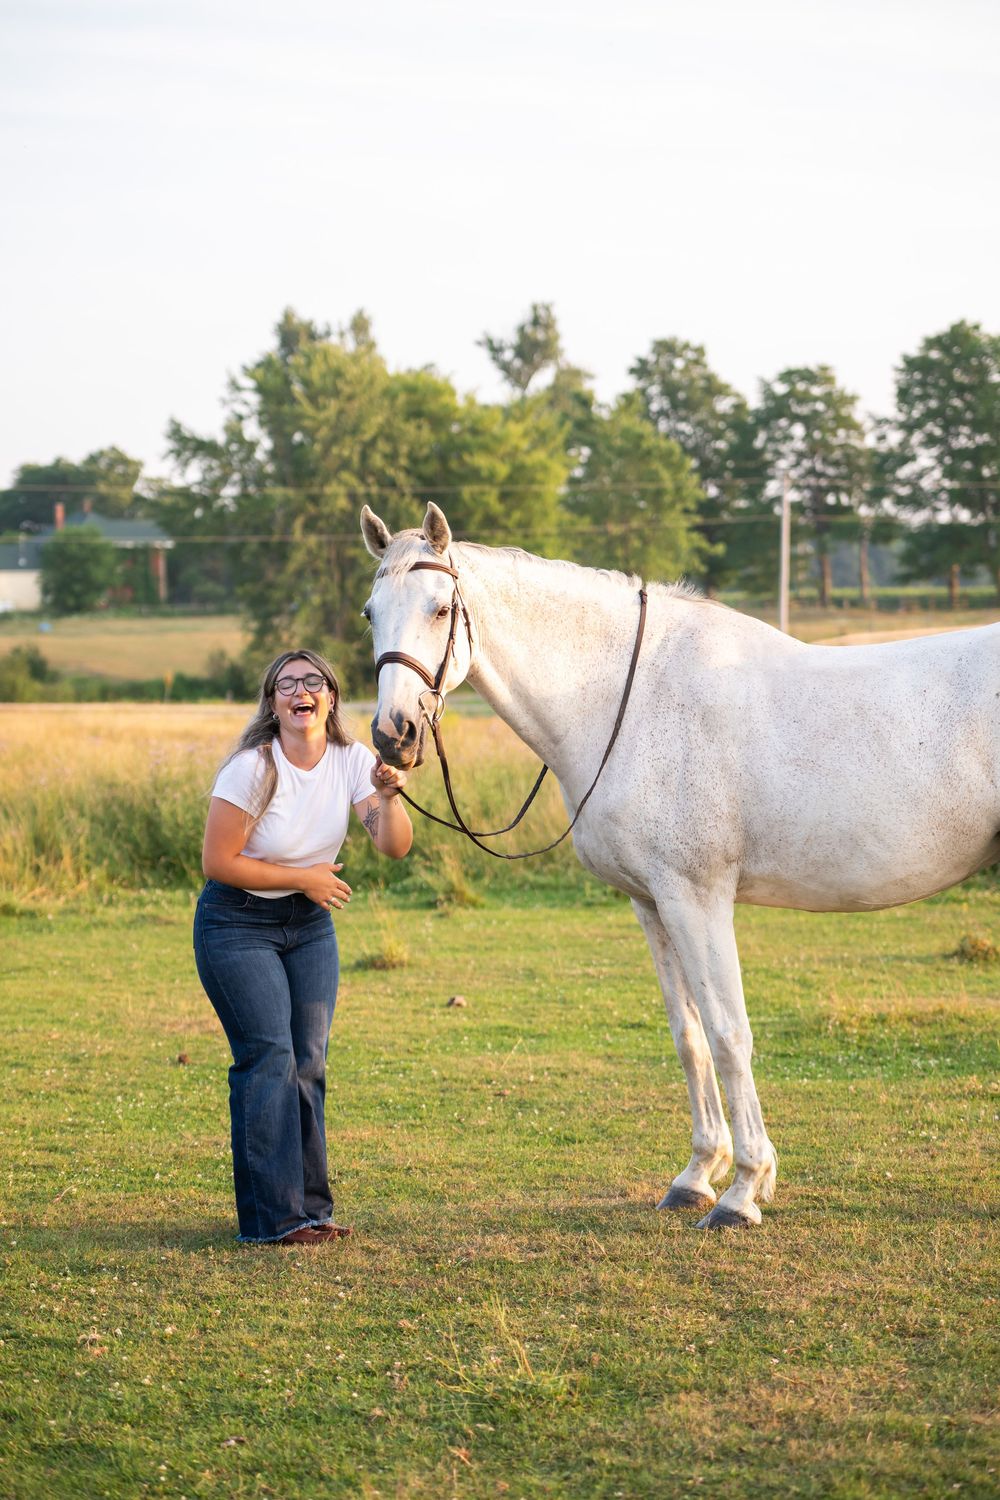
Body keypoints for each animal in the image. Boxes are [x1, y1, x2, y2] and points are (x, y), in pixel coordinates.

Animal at [360, 502, 1000, 1229]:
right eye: (371, 613)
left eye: (441, 608)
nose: (394, 734)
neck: (633, 698)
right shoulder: (653, 904)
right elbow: (688, 1037)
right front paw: (697, 1175)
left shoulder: (698, 898)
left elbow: (727, 1034)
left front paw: (744, 1190)